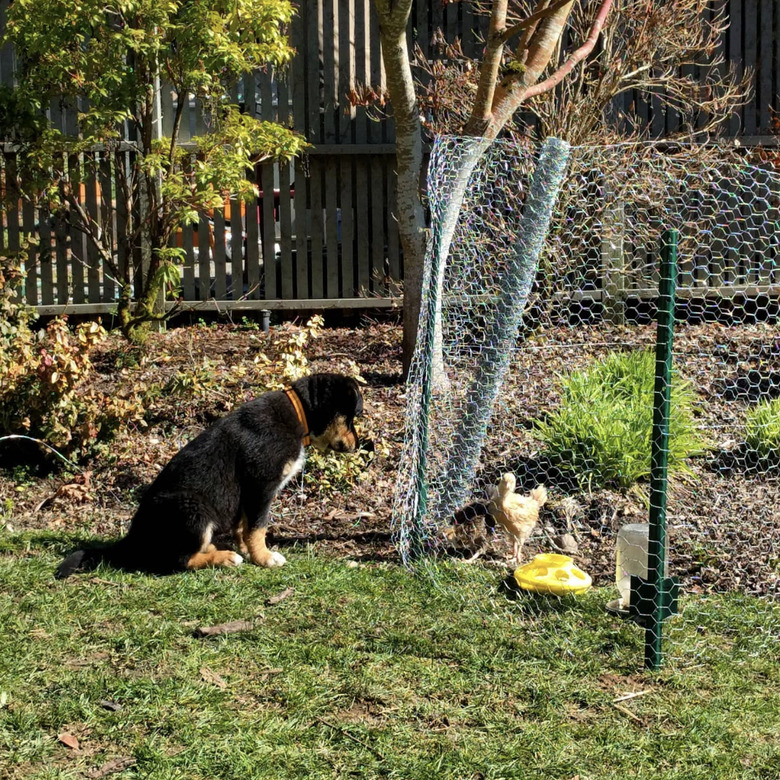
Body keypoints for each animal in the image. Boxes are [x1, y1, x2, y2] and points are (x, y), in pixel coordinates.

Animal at [56, 372, 364, 580]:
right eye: (351, 418)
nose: (359, 445)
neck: (298, 415)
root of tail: (133, 539)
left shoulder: (247, 494)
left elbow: (244, 526)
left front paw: (249, 551)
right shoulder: (260, 486)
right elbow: (258, 527)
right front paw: (264, 558)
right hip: (193, 509)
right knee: (177, 560)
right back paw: (225, 558)